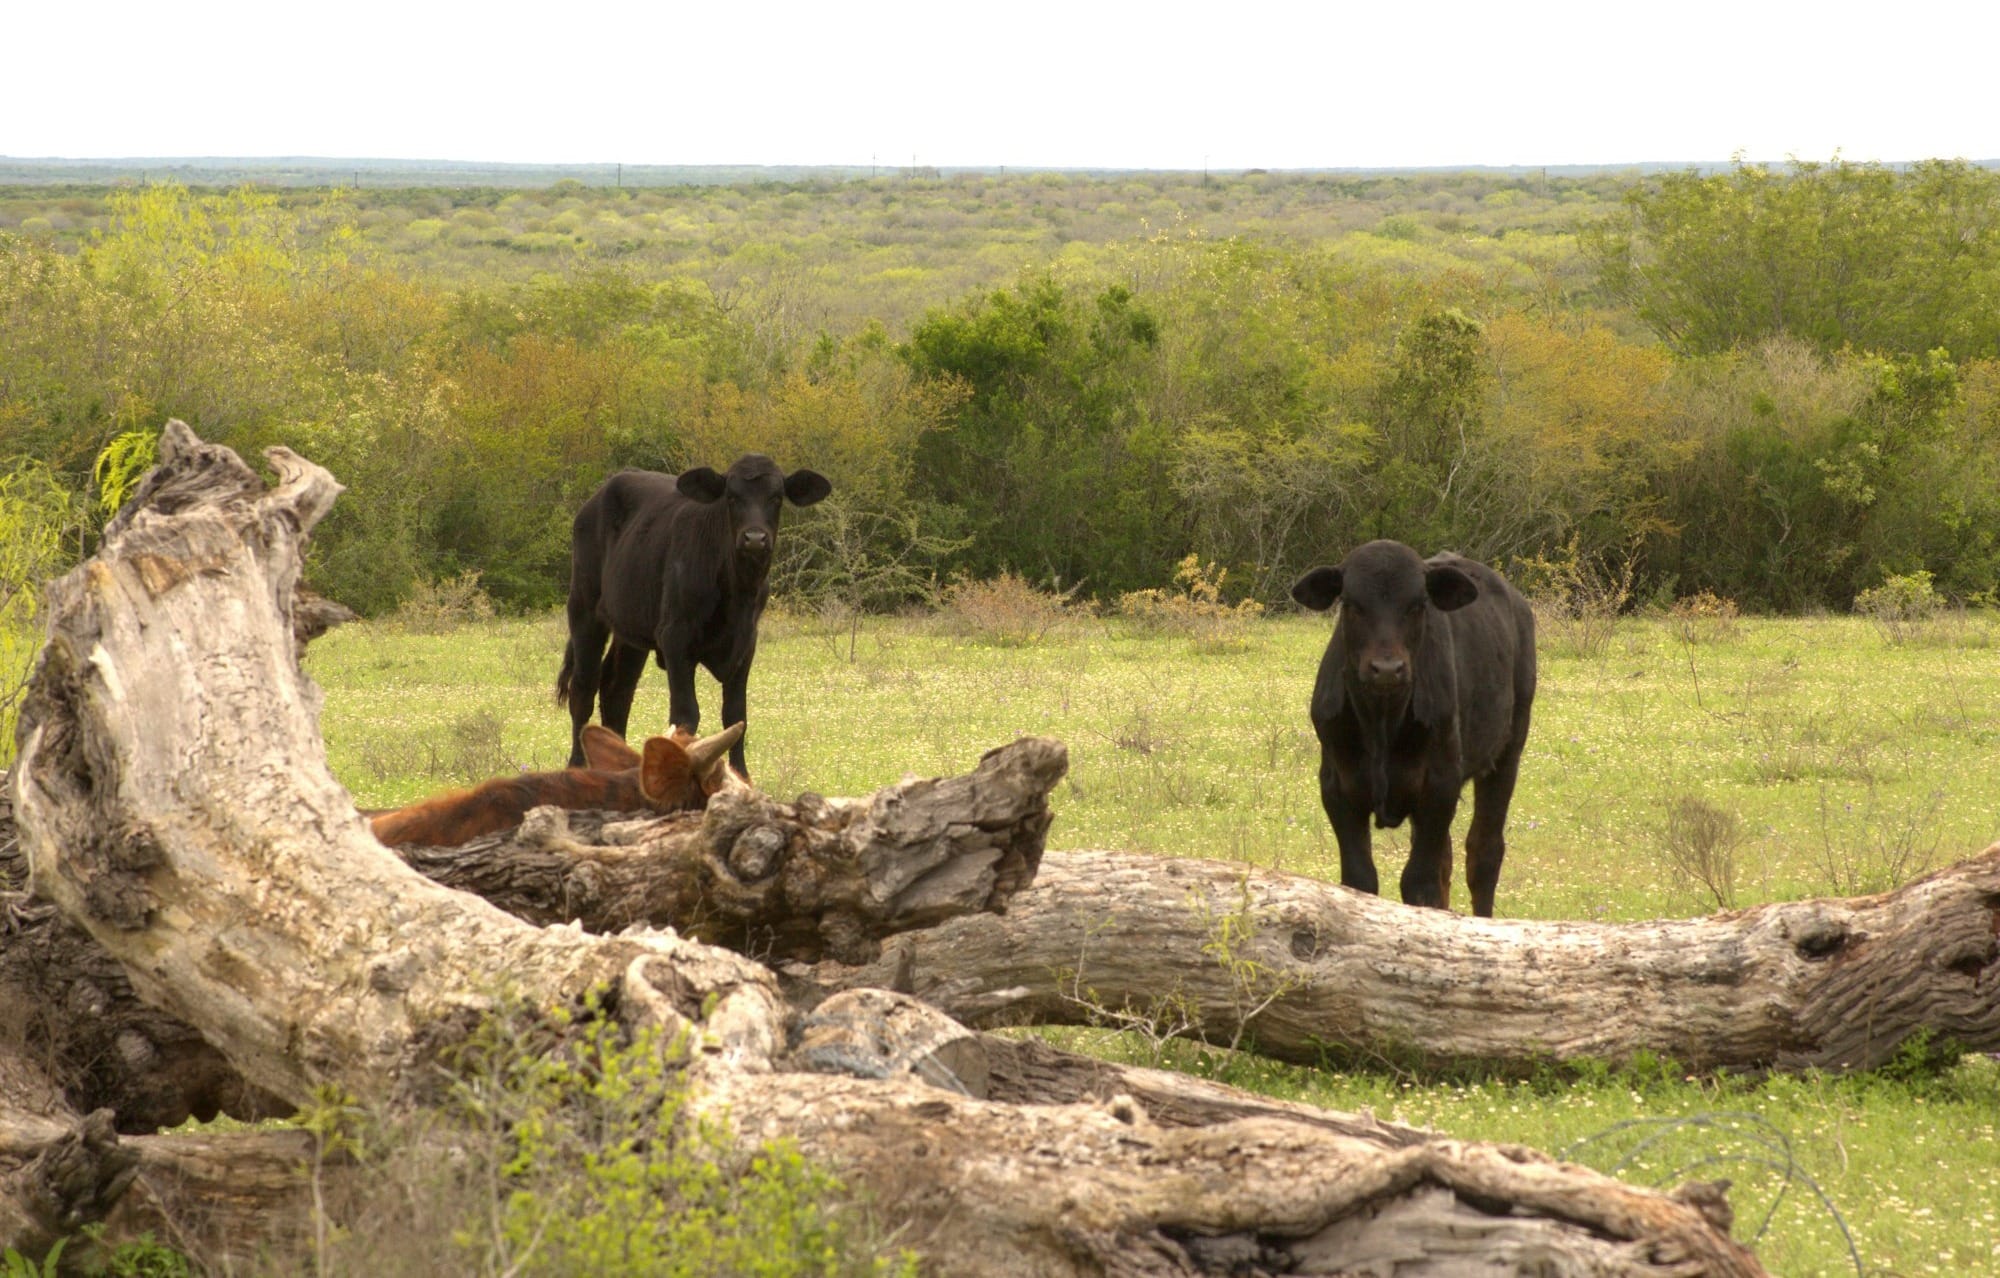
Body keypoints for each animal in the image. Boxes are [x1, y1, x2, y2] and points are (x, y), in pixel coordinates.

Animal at [556, 456, 831, 774]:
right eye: (731, 497)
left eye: (776, 497)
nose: (754, 538)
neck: (737, 592)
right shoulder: (675, 639)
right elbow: (686, 715)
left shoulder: (746, 643)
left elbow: (736, 715)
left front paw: (742, 775)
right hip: (584, 609)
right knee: (583, 688)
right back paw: (577, 766)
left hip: (631, 631)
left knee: (617, 691)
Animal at [1289, 540, 1536, 917]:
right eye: (1351, 603)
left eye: (1418, 604)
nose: (1387, 669)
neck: (1381, 721)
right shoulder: (1337, 787)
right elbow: (1360, 879)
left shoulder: (1439, 784)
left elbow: (1419, 883)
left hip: (1507, 752)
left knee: (1484, 853)